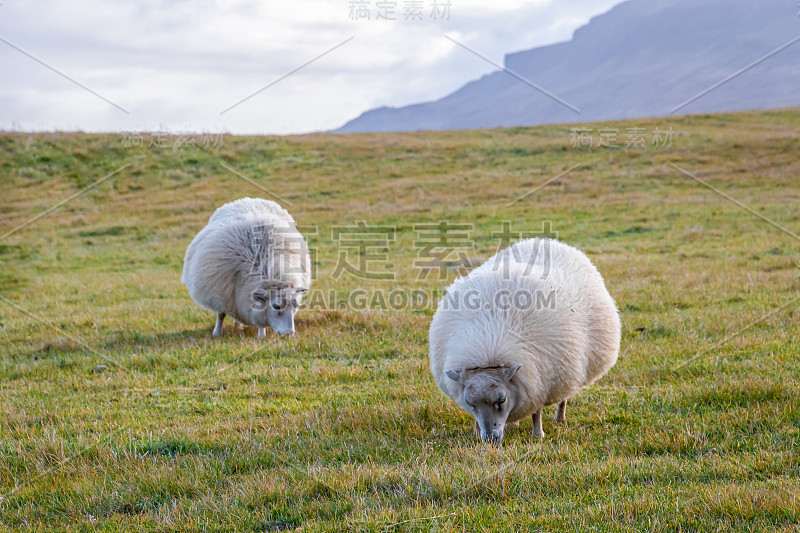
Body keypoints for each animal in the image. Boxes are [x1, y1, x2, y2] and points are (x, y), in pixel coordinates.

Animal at [182, 195, 312, 336]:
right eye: (276, 306)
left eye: (296, 306)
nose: (289, 333)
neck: (267, 267)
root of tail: (247, 199)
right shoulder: (220, 291)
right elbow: (221, 314)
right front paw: (217, 333)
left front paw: (261, 335)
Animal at [428, 239, 620, 442]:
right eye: (469, 402)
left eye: (502, 399)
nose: (490, 440)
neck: (488, 342)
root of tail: (547, 241)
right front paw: (476, 431)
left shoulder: (539, 378)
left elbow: (536, 411)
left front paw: (537, 435)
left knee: (564, 396)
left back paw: (559, 418)